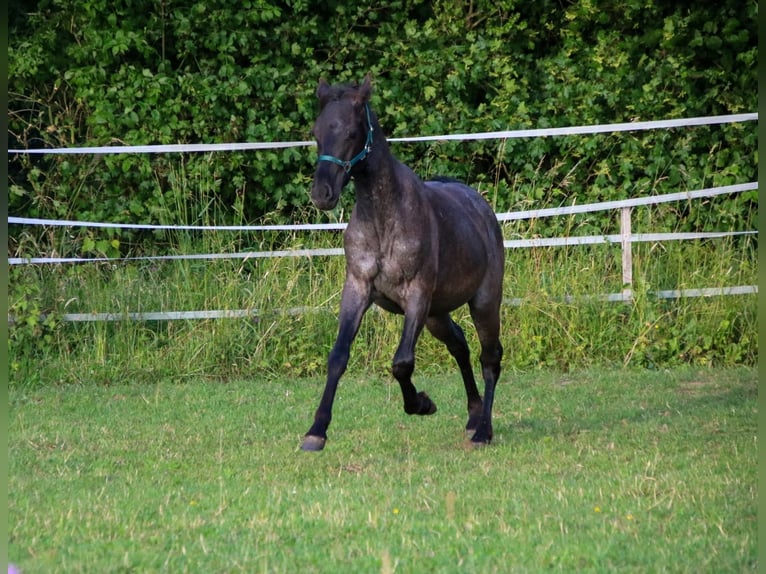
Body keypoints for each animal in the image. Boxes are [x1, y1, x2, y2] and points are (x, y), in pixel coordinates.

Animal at [301, 74, 504, 451]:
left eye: (351, 132)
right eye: (316, 131)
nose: (322, 194)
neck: (384, 219)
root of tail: (481, 207)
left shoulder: (417, 296)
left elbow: (402, 362)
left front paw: (421, 403)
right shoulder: (358, 288)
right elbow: (338, 356)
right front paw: (316, 431)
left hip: (483, 302)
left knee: (490, 358)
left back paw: (483, 430)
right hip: (437, 315)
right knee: (460, 345)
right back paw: (472, 417)